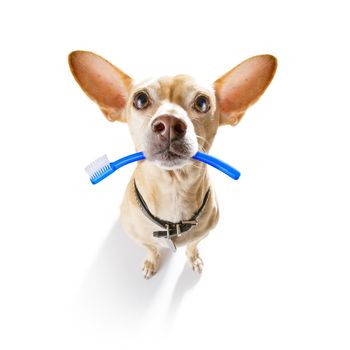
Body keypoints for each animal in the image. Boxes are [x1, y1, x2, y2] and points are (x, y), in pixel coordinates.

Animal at [67, 50, 276, 278]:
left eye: (202, 103)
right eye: (140, 99)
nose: (168, 123)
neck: (173, 189)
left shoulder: (202, 235)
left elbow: (193, 246)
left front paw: (194, 259)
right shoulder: (140, 239)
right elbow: (151, 248)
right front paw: (151, 262)